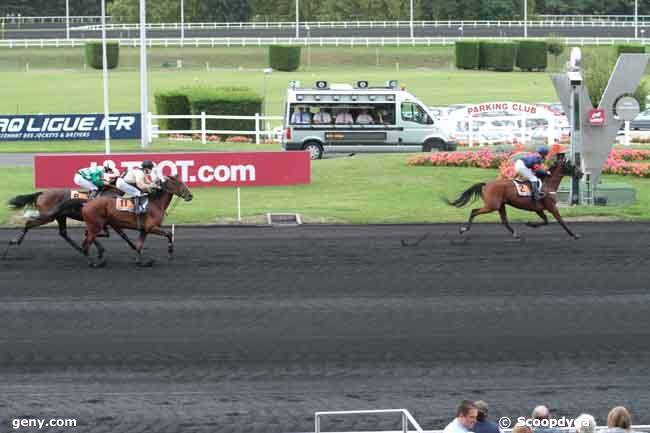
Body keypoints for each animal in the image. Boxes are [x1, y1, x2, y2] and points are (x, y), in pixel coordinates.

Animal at [55, 176, 192, 266]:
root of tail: (87, 203)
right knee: (86, 244)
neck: (155, 203)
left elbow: (139, 245)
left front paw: (141, 261)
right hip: (95, 226)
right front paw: (170, 252)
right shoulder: (151, 227)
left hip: (94, 226)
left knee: (86, 238)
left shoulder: (144, 230)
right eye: (179, 183)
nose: (190, 196)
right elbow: (169, 234)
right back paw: (93, 263)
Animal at [442, 153, 580, 240]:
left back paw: (515, 234)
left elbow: (545, 221)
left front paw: (530, 224)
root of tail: (486, 183)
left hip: (500, 205)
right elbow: (561, 221)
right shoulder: (552, 207)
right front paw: (574, 235)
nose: (581, 173)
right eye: (572, 166)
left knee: (504, 220)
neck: (547, 184)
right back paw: (463, 229)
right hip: (492, 205)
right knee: (474, 211)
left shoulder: (538, 209)